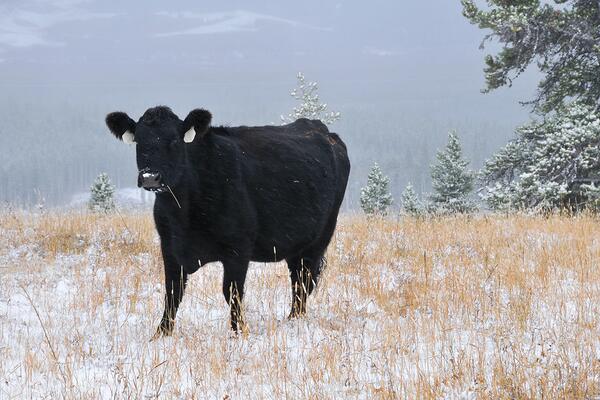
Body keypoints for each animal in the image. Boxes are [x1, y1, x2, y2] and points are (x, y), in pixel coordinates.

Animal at [105, 106, 350, 334]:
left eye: (174, 140)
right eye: (139, 141)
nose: (150, 177)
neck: (184, 211)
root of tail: (321, 129)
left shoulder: (238, 249)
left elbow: (232, 292)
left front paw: (239, 332)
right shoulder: (170, 247)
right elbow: (172, 292)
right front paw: (161, 334)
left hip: (319, 239)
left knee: (303, 281)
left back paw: (295, 320)